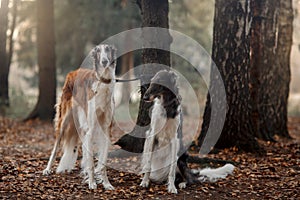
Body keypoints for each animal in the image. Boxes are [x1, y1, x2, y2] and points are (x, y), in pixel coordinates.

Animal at [42, 44, 116, 190]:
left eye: (107, 49)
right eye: (98, 51)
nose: (104, 61)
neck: (103, 82)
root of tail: (73, 72)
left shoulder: (106, 129)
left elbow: (102, 162)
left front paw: (106, 184)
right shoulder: (91, 128)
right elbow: (92, 163)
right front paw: (92, 183)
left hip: (80, 125)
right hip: (64, 121)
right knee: (55, 147)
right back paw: (47, 169)